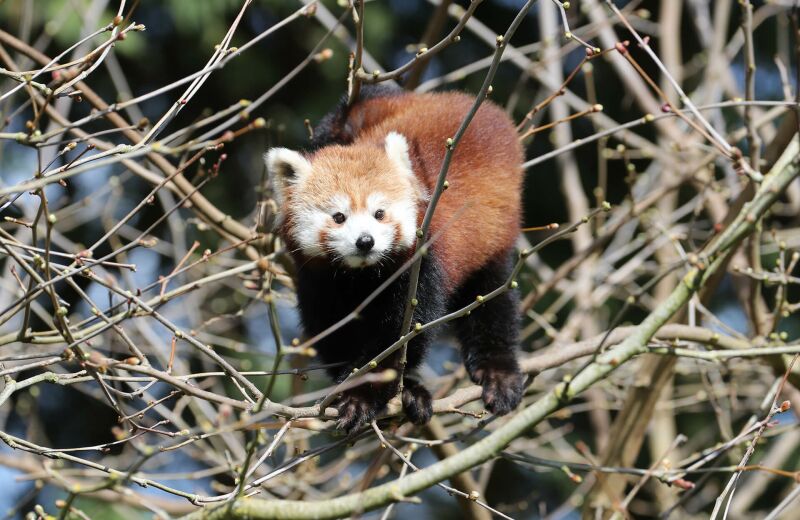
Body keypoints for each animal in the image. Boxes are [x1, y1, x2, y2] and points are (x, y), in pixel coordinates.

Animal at [268, 86, 524, 430]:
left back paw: (497, 372)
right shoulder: (317, 280)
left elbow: (401, 334)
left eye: (379, 213)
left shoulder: (419, 266)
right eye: (339, 217)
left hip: (494, 236)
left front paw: (362, 397)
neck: (360, 275)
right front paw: (352, 385)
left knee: (491, 302)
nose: (365, 241)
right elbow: (333, 332)